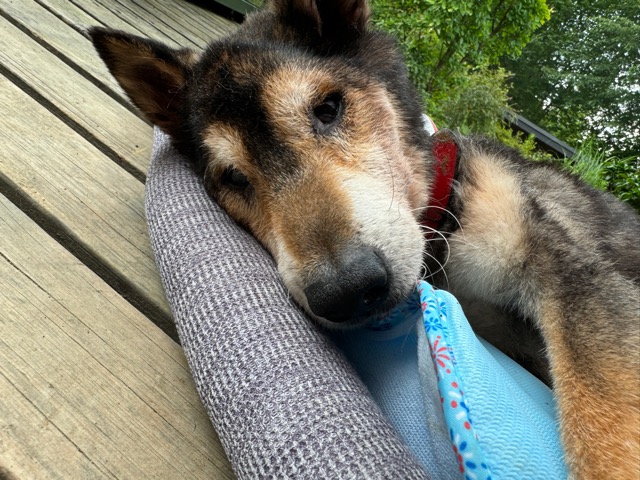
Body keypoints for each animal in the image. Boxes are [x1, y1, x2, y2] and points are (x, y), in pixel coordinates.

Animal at [90, 0, 640, 477]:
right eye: (232, 177)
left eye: (328, 108)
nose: (348, 291)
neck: (445, 221)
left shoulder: (577, 276)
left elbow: (602, 431)